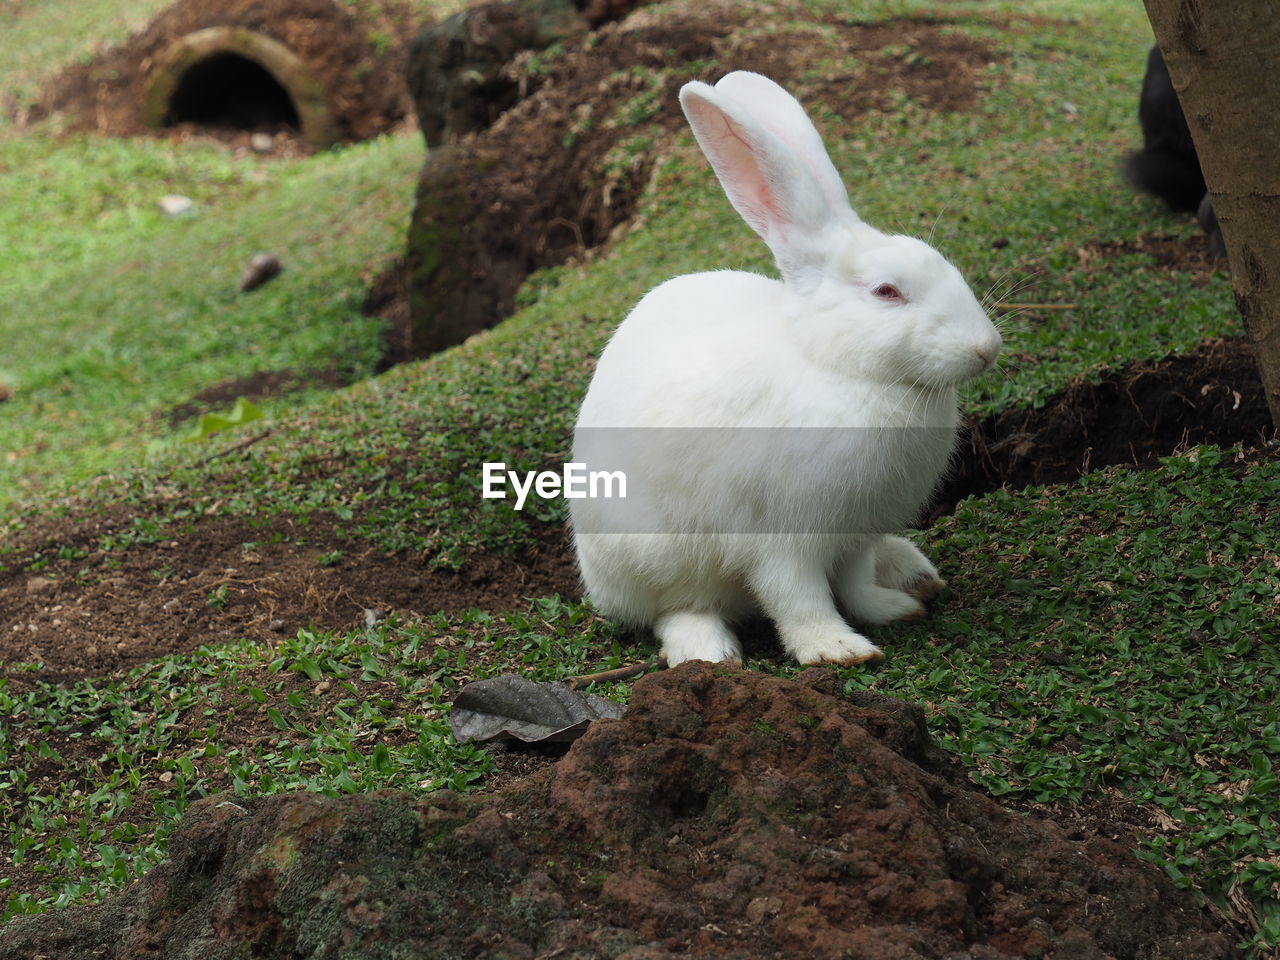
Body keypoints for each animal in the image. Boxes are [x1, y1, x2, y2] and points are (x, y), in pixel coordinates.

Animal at [570, 71, 998, 670]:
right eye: (886, 292)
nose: (987, 348)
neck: (837, 365)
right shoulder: (781, 539)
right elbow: (798, 596)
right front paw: (837, 650)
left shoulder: (854, 535)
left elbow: (854, 583)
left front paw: (890, 610)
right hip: (653, 554)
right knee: (676, 608)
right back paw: (708, 652)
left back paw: (910, 572)